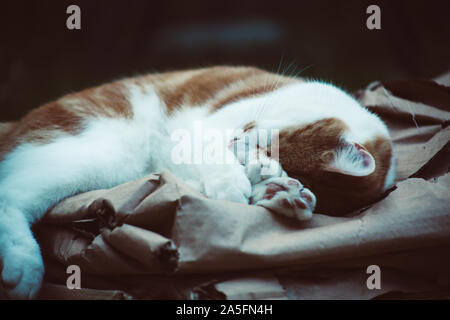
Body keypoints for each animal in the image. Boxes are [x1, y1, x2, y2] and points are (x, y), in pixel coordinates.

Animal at [0, 65, 394, 298]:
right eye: (268, 147)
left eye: (268, 162)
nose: (238, 145)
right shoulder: (204, 129)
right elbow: (209, 152)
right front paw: (232, 184)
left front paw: (284, 194)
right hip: (96, 151)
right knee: (10, 195)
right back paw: (23, 269)